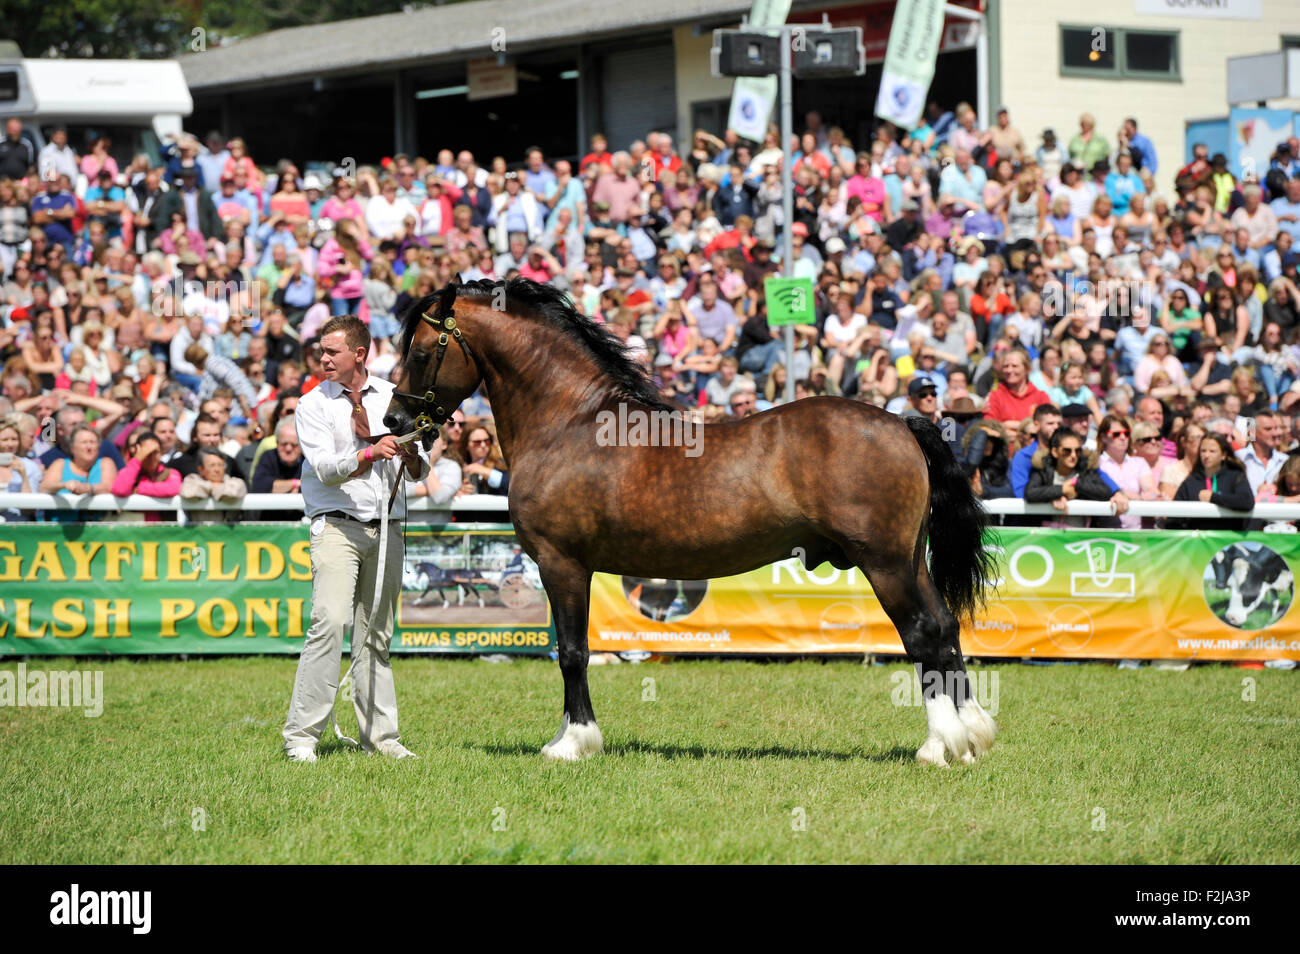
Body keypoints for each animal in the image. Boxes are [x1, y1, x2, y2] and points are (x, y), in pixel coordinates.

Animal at [384, 280, 993, 764]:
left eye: (421, 351)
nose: (392, 418)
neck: (570, 423)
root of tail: (901, 423)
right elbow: (573, 650)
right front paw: (567, 737)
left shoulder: (562, 564)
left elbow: (573, 653)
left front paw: (573, 743)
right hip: (911, 561)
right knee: (945, 631)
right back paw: (968, 739)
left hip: (885, 565)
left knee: (921, 635)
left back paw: (937, 747)